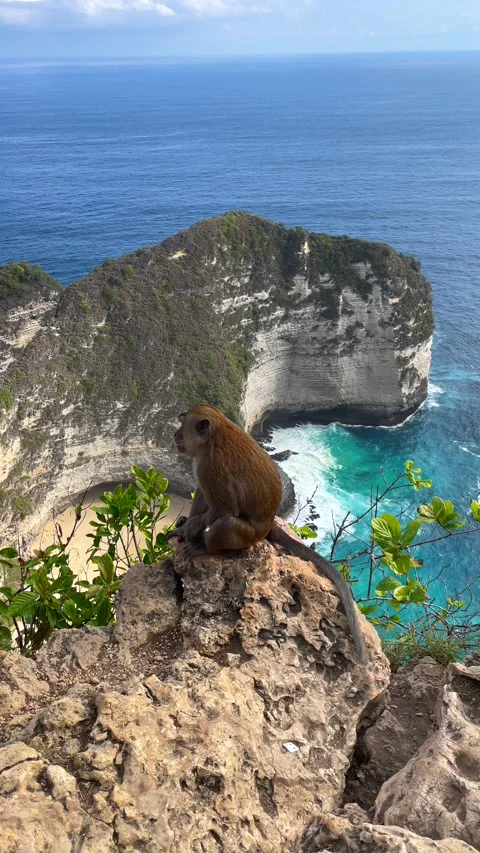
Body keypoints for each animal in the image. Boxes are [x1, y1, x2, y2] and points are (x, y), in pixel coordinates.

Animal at [168, 403, 368, 663]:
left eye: (183, 426)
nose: (175, 435)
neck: (211, 440)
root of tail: (270, 522)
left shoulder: (211, 469)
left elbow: (224, 509)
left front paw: (192, 530)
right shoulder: (200, 467)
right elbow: (202, 495)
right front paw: (184, 527)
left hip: (248, 535)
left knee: (226, 523)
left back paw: (205, 547)